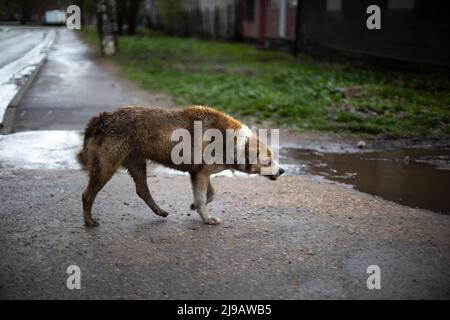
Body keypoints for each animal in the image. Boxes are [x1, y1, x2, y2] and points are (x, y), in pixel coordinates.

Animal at [75, 106, 284, 226]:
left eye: (274, 158)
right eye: (268, 162)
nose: (282, 170)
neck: (233, 143)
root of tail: (100, 118)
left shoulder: (200, 173)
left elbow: (209, 194)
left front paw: (194, 206)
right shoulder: (201, 174)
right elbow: (203, 198)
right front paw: (206, 219)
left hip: (136, 163)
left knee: (142, 189)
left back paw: (159, 211)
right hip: (106, 168)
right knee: (87, 195)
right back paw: (89, 221)